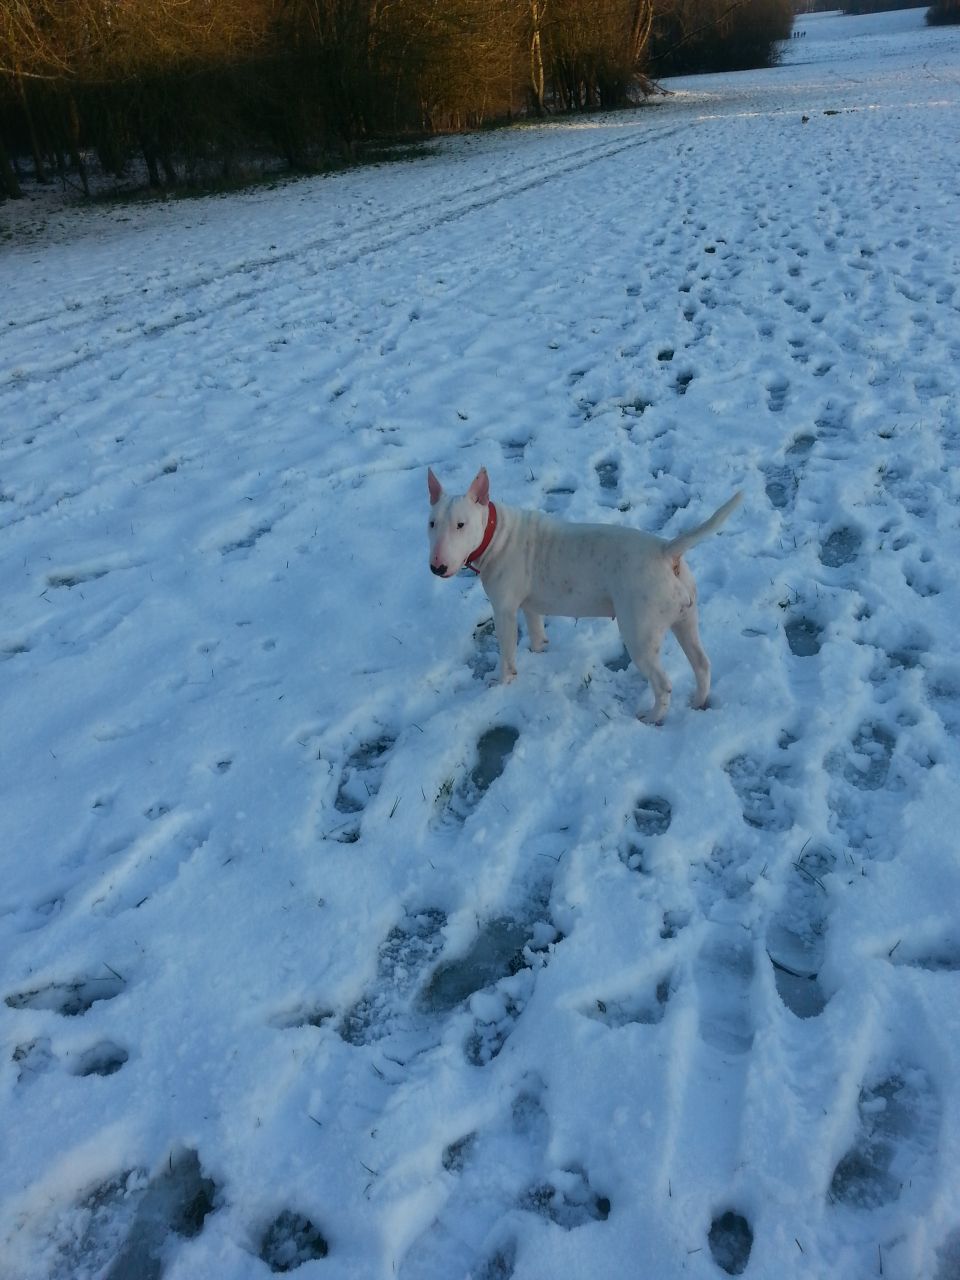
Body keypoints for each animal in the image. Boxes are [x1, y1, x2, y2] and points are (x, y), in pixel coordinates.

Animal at [427, 465, 742, 721]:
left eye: (461, 524)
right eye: (431, 523)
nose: (436, 567)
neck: (495, 533)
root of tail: (666, 551)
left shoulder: (503, 609)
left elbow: (506, 651)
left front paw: (502, 682)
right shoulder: (530, 604)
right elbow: (536, 629)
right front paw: (539, 650)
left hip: (640, 633)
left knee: (663, 684)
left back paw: (652, 717)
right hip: (686, 618)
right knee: (702, 664)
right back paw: (698, 702)